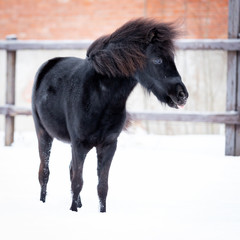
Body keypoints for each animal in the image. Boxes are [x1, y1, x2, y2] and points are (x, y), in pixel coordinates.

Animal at [31, 18, 188, 212]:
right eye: (157, 60)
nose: (182, 95)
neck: (100, 97)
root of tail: (48, 65)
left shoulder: (108, 145)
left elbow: (102, 186)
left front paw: (100, 213)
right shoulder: (79, 144)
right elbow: (77, 182)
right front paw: (73, 211)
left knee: (68, 169)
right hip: (43, 133)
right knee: (44, 172)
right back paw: (43, 202)